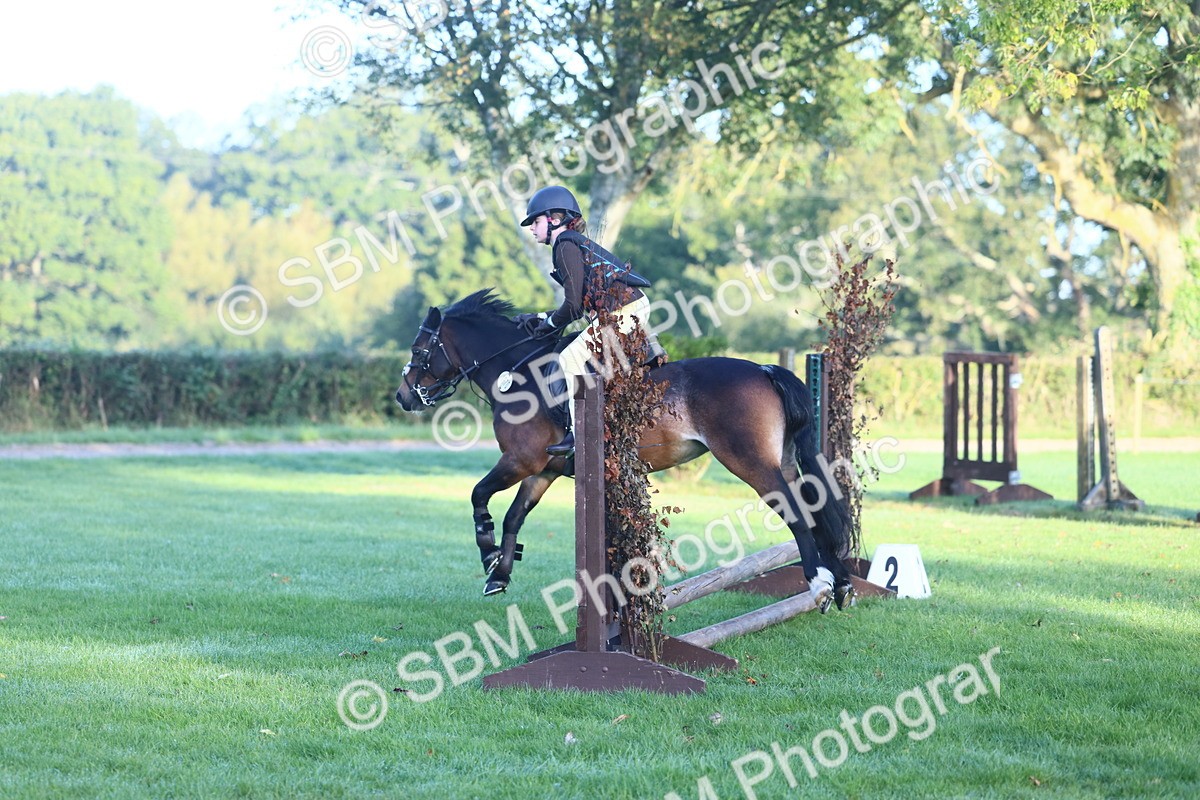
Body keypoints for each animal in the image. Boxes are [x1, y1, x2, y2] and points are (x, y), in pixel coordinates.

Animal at [394, 289, 856, 611]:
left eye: (418, 350)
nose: (403, 397)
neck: (517, 374)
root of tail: (762, 368)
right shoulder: (544, 469)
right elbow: (514, 517)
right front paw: (500, 573)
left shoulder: (520, 460)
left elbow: (479, 495)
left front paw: (487, 550)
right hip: (784, 460)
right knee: (814, 508)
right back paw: (843, 583)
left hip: (751, 462)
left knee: (796, 512)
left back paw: (820, 582)